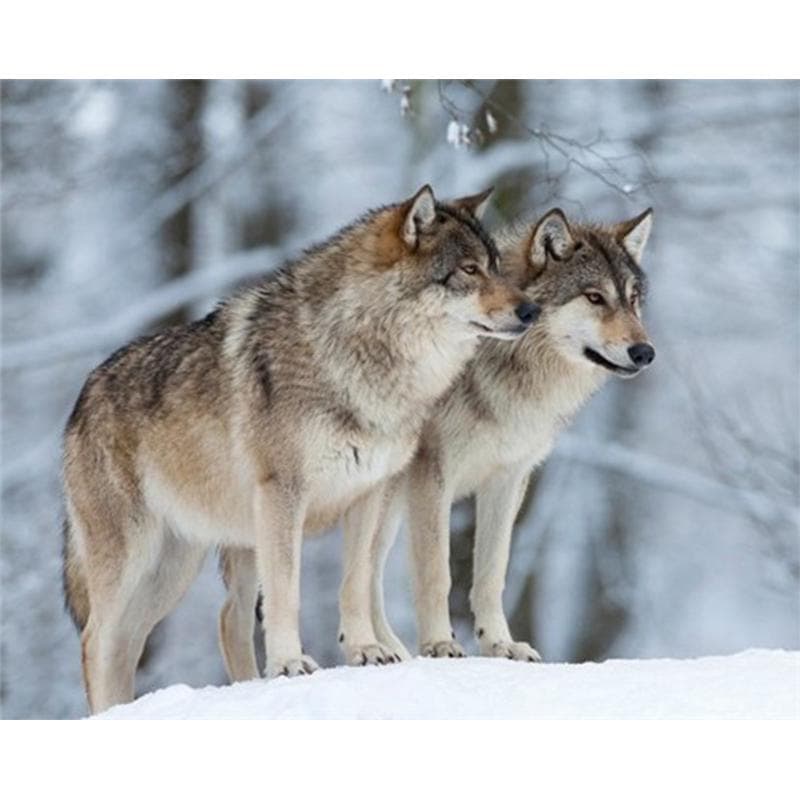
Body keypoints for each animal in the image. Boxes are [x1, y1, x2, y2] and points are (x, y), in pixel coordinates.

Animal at [62, 184, 539, 713]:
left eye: (496, 265)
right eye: (469, 270)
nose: (531, 310)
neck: (359, 353)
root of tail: (83, 396)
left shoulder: (369, 493)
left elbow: (355, 583)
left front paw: (365, 650)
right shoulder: (283, 495)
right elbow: (286, 592)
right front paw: (290, 664)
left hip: (175, 569)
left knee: (160, 635)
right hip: (135, 562)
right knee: (96, 641)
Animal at [217, 206, 655, 672]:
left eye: (633, 299)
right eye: (594, 297)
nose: (645, 352)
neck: (505, 369)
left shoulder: (508, 480)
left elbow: (492, 573)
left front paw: (500, 645)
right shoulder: (432, 474)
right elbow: (436, 571)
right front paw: (441, 644)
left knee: (362, 578)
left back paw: (389, 650)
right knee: (241, 611)